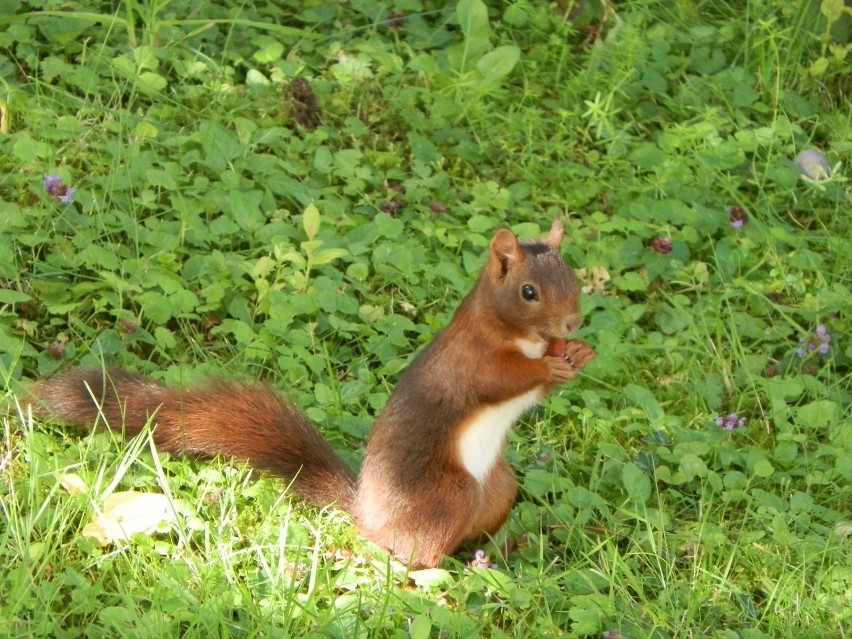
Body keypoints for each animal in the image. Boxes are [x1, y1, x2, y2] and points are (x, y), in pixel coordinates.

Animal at [31, 218, 592, 568]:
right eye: (528, 292)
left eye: (576, 277)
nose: (573, 323)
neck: (517, 334)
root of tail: (366, 514)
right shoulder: (472, 361)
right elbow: (504, 379)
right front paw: (552, 366)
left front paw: (578, 353)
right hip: (445, 494)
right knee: (409, 556)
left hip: (497, 488)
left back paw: (506, 548)